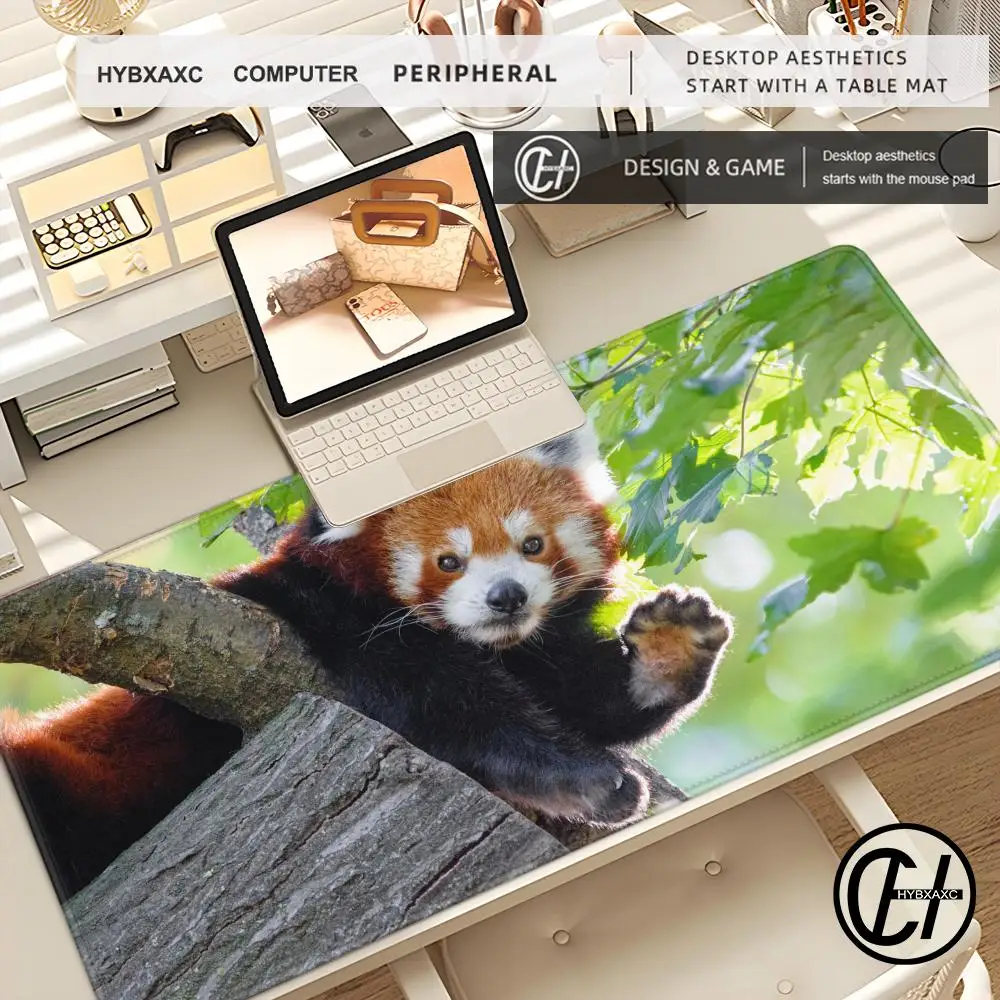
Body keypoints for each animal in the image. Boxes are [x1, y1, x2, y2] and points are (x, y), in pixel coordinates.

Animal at [0, 428, 732, 898]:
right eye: (448, 560)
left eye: (532, 544)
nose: (506, 597)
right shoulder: (329, 612)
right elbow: (451, 706)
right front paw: (578, 779)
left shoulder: (531, 654)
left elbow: (579, 696)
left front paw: (666, 654)